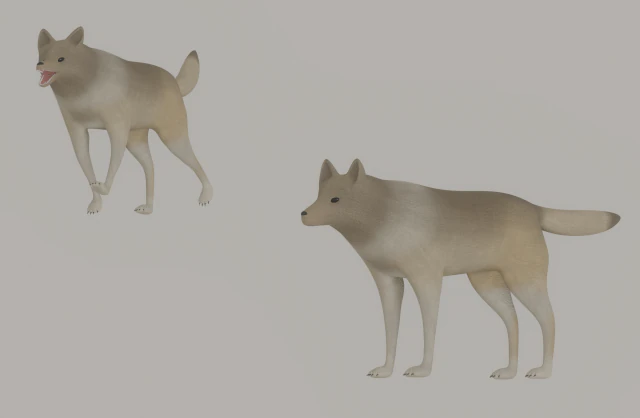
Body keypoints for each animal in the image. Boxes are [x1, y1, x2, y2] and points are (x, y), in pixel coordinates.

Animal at [36, 27, 213, 214]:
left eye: (61, 59)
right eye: (42, 56)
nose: (39, 64)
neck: (85, 78)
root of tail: (175, 83)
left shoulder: (116, 128)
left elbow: (113, 163)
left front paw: (102, 187)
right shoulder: (76, 130)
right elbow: (86, 165)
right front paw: (96, 203)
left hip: (172, 137)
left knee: (195, 162)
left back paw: (206, 195)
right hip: (136, 141)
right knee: (150, 167)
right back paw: (148, 207)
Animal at [301, 159, 620, 379]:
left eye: (335, 199)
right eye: (318, 195)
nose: (303, 213)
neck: (383, 212)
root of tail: (533, 208)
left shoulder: (427, 280)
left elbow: (428, 328)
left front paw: (423, 369)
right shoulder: (388, 281)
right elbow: (391, 330)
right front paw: (386, 369)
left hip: (524, 282)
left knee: (549, 320)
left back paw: (542, 371)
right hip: (487, 285)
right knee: (514, 322)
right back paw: (509, 371)